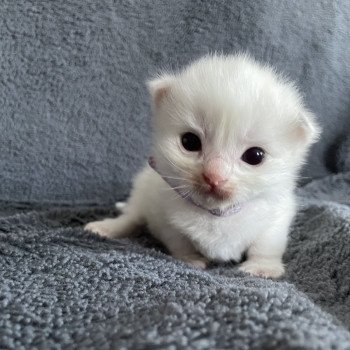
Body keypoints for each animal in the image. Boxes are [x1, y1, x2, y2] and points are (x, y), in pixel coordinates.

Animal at [84, 54, 320, 278]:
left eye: (255, 156)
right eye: (190, 142)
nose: (214, 176)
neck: (216, 212)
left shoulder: (277, 216)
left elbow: (266, 244)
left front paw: (262, 267)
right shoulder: (162, 214)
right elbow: (178, 240)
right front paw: (190, 258)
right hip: (142, 193)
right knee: (131, 217)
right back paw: (105, 228)